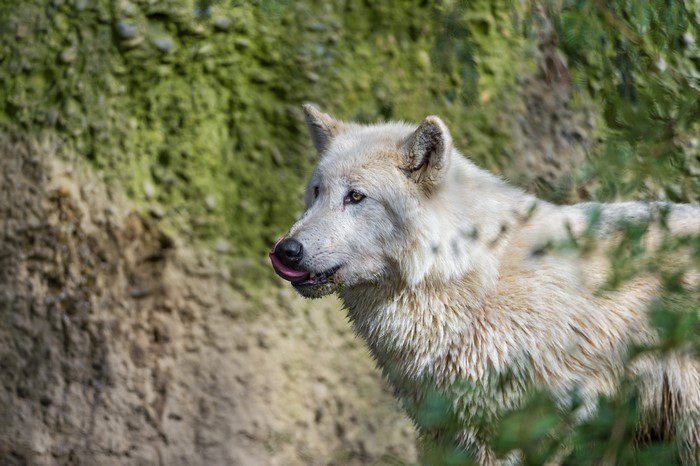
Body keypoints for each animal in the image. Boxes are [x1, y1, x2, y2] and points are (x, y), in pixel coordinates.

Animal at [270, 104, 700, 464]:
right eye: (317, 192)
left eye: (356, 196)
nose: (286, 251)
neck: (468, 281)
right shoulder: (443, 432)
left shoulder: (505, 434)